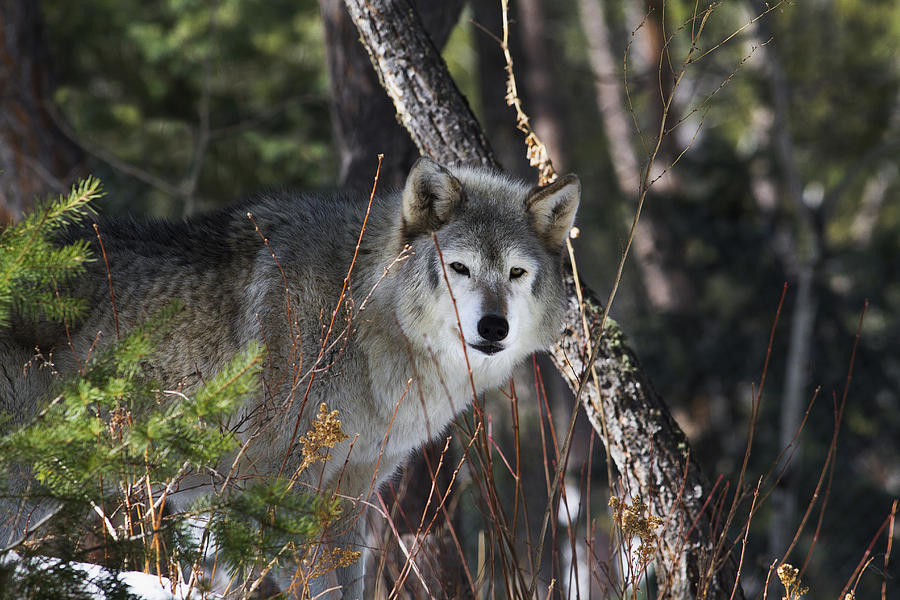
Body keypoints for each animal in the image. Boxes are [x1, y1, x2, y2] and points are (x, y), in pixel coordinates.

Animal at [0, 157, 580, 596]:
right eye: (459, 267)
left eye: (516, 273)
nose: (493, 327)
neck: (361, 316)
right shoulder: (272, 489)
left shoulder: (346, 496)